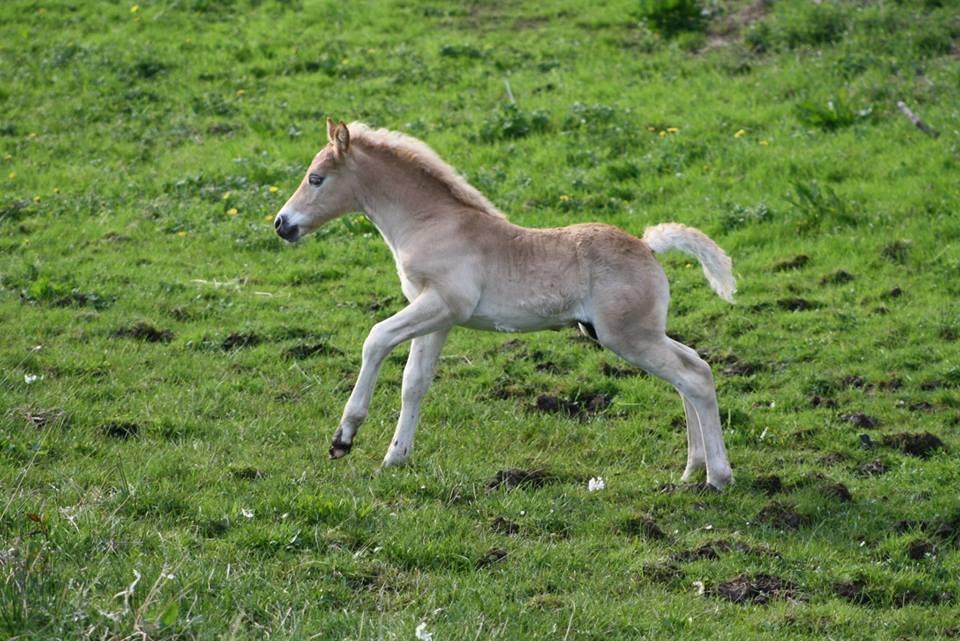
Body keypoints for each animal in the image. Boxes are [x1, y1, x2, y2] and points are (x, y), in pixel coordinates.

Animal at [274, 119, 740, 484]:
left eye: (316, 178)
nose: (281, 223)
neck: (431, 222)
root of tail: (647, 246)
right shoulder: (438, 318)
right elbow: (414, 382)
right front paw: (395, 458)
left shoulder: (444, 305)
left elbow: (376, 338)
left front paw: (343, 438)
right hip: (639, 333)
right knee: (692, 367)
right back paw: (692, 469)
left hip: (628, 336)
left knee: (694, 378)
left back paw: (718, 476)